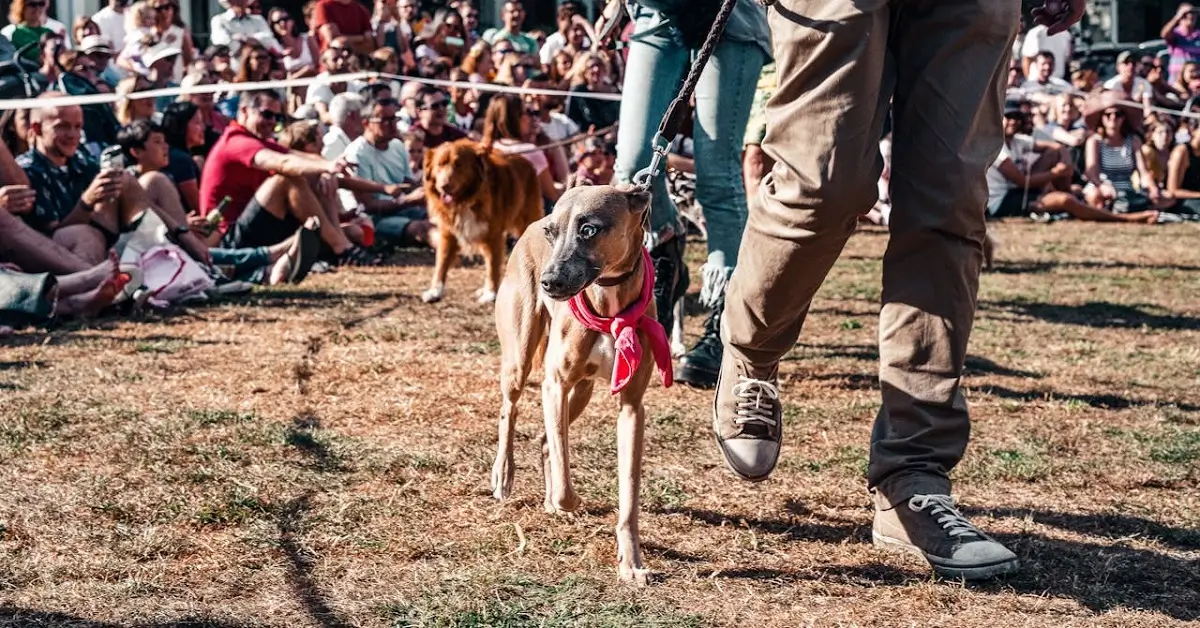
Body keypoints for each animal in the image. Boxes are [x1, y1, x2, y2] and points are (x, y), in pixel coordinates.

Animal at [417, 141, 540, 303]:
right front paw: (435, 291)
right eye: (440, 165)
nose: (444, 186)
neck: (465, 200)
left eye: (458, 165)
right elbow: (441, 263)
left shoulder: (493, 235)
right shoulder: (448, 233)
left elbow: (493, 265)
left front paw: (491, 293)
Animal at [489, 184, 676, 588]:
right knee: (509, 412)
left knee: (545, 441)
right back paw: (503, 475)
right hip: (520, 360)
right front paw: (566, 501)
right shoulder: (554, 385)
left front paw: (631, 562)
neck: (609, 310)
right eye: (552, 232)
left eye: (589, 229)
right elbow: (564, 481)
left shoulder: (631, 407)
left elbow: (629, 492)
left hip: (583, 391)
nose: (550, 282)